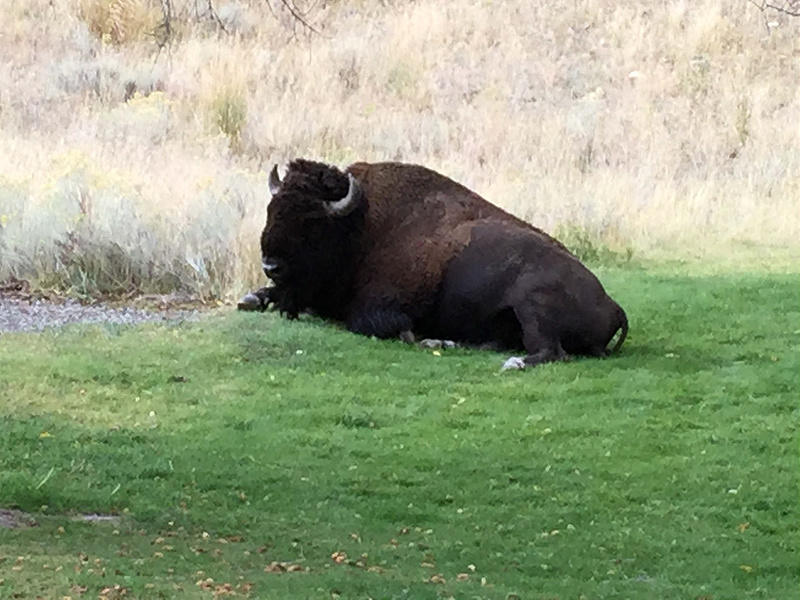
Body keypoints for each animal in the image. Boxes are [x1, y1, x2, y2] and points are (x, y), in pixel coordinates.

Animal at [241, 159, 628, 368]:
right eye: (272, 210)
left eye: (310, 222)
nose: (271, 266)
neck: (361, 227)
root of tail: (615, 305)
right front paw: (252, 298)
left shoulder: (382, 307)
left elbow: (376, 324)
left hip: (531, 300)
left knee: (550, 351)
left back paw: (509, 363)